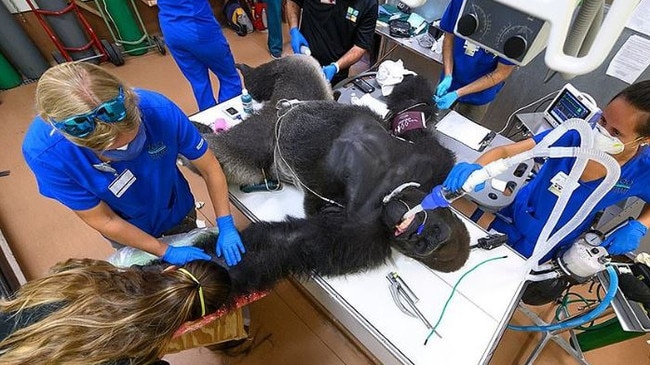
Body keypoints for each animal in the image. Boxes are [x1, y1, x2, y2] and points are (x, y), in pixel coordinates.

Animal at [186, 57, 466, 296]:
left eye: (421, 244)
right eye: (431, 231)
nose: (414, 232)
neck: (395, 188)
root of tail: (276, 108)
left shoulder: (361, 237)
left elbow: (287, 242)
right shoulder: (432, 162)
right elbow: (413, 111)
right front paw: (407, 78)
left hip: (265, 142)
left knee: (224, 156)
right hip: (305, 96)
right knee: (299, 63)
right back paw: (245, 74)